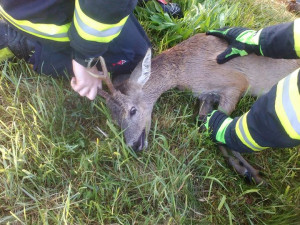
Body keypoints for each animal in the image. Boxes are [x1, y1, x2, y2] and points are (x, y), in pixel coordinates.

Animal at [95, 33, 300, 184]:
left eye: (132, 110)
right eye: (115, 121)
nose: (133, 145)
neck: (182, 69)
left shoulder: (237, 83)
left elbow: (227, 131)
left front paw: (252, 173)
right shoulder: (207, 96)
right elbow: (208, 128)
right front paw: (245, 170)